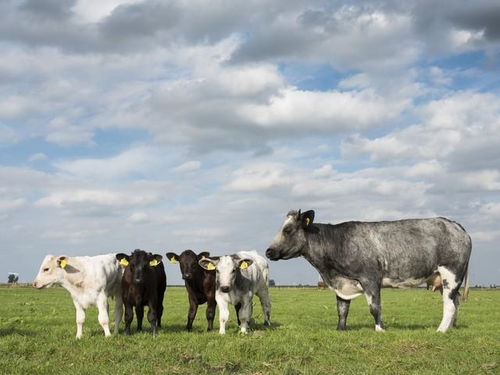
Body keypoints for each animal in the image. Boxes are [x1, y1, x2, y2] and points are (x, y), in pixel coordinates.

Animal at [266, 210, 472, 334]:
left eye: (288, 230)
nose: (268, 251)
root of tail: (455, 225)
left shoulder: (370, 278)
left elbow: (375, 307)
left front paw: (380, 329)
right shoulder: (342, 283)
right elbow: (342, 309)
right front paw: (340, 329)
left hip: (451, 274)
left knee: (449, 304)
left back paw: (441, 330)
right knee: (457, 301)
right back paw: (452, 327)